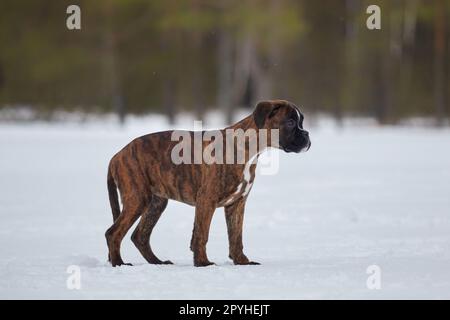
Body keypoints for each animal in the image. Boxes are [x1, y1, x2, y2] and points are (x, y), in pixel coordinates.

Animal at [105, 99, 310, 264]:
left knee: (139, 236)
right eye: (291, 122)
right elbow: (201, 234)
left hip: (156, 203)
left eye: (301, 121)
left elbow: (236, 236)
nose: (307, 135)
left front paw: (241, 262)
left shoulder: (237, 204)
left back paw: (157, 263)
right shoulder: (206, 200)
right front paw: (203, 263)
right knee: (113, 233)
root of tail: (117, 155)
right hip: (138, 198)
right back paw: (119, 264)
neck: (246, 147)